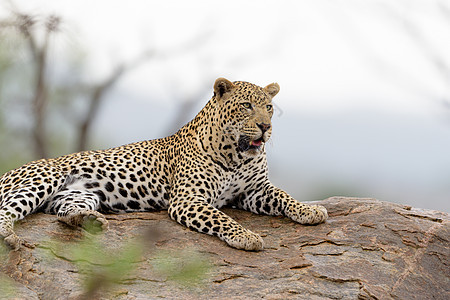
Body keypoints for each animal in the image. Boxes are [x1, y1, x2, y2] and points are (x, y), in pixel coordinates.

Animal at [1, 78, 328, 251]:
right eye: (247, 106)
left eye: (269, 107)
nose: (265, 127)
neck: (235, 155)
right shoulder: (188, 199)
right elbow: (221, 218)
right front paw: (245, 235)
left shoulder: (254, 191)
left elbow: (284, 195)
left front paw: (309, 210)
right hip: (44, 178)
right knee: (6, 210)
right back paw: (9, 236)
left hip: (78, 195)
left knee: (64, 215)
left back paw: (88, 221)